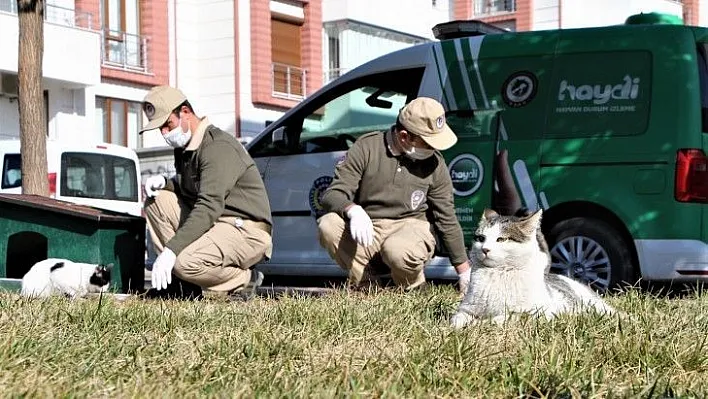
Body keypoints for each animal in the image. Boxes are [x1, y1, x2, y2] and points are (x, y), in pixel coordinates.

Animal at [450, 208, 616, 330]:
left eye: (501, 239)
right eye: (481, 238)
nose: (484, 249)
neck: (498, 272)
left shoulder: (539, 313)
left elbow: (502, 318)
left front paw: (480, 324)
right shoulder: (465, 309)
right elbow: (455, 319)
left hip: (595, 306)